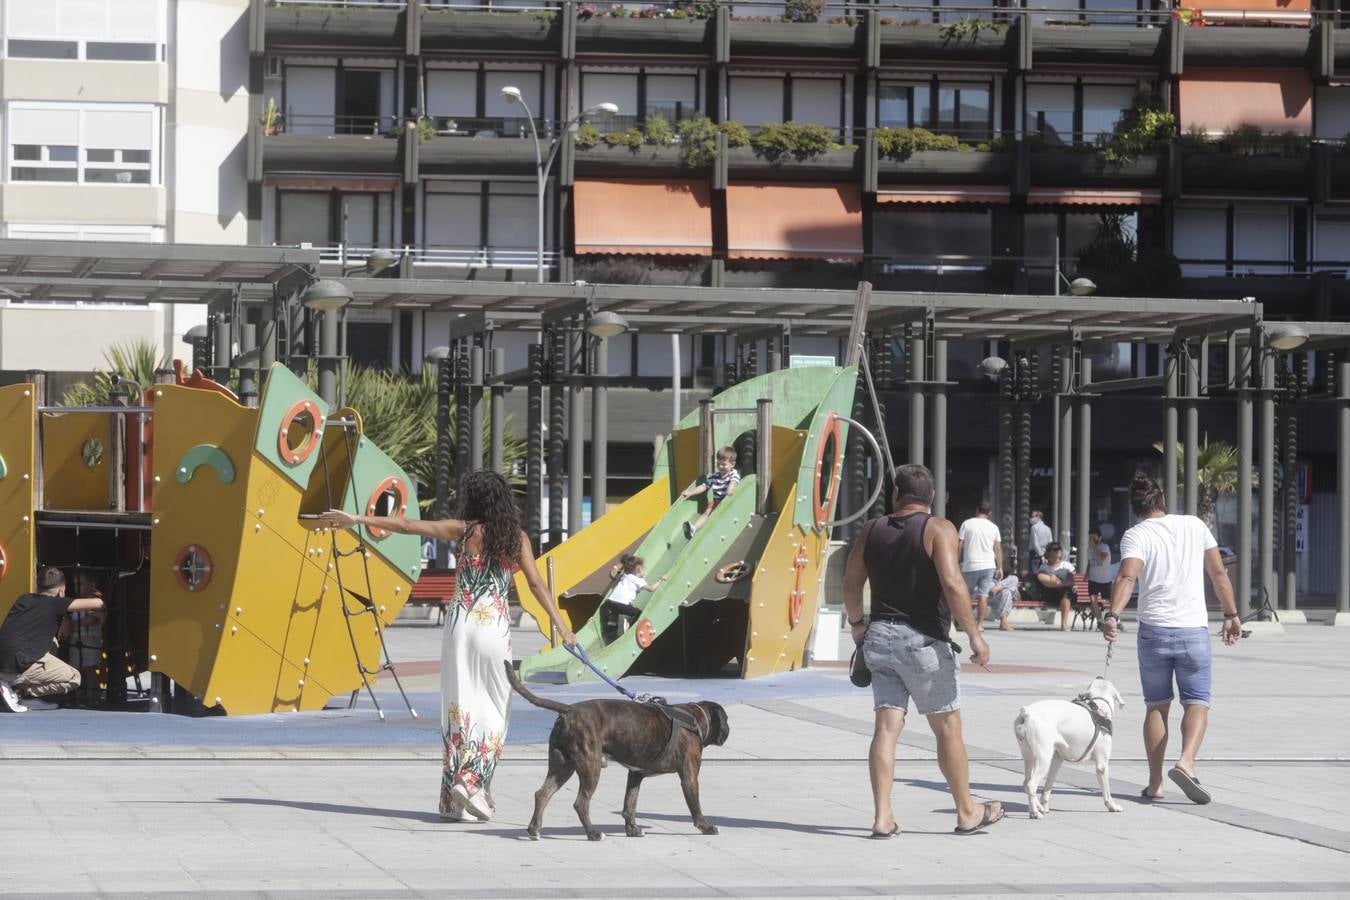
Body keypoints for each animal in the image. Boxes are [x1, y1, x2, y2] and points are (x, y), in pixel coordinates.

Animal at [502, 661, 729, 836]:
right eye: (726, 719)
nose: (728, 730)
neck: (695, 719)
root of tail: (568, 710)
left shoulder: (636, 775)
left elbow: (629, 805)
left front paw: (632, 829)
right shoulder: (689, 776)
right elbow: (695, 806)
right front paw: (705, 827)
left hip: (562, 766)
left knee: (542, 794)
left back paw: (535, 829)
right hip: (590, 767)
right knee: (580, 803)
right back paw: (593, 834)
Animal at [1015, 674, 1123, 814]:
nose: (1100, 675)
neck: (1098, 706)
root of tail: (1027, 713)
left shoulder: (1057, 759)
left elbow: (1048, 785)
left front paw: (1044, 805)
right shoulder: (1102, 765)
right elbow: (1107, 792)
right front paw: (1112, 806)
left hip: (1029, 756)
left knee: (1026, 783)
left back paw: (1039, 807)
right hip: (1043, 758)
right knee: (1031, 784)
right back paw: (1034, 813)